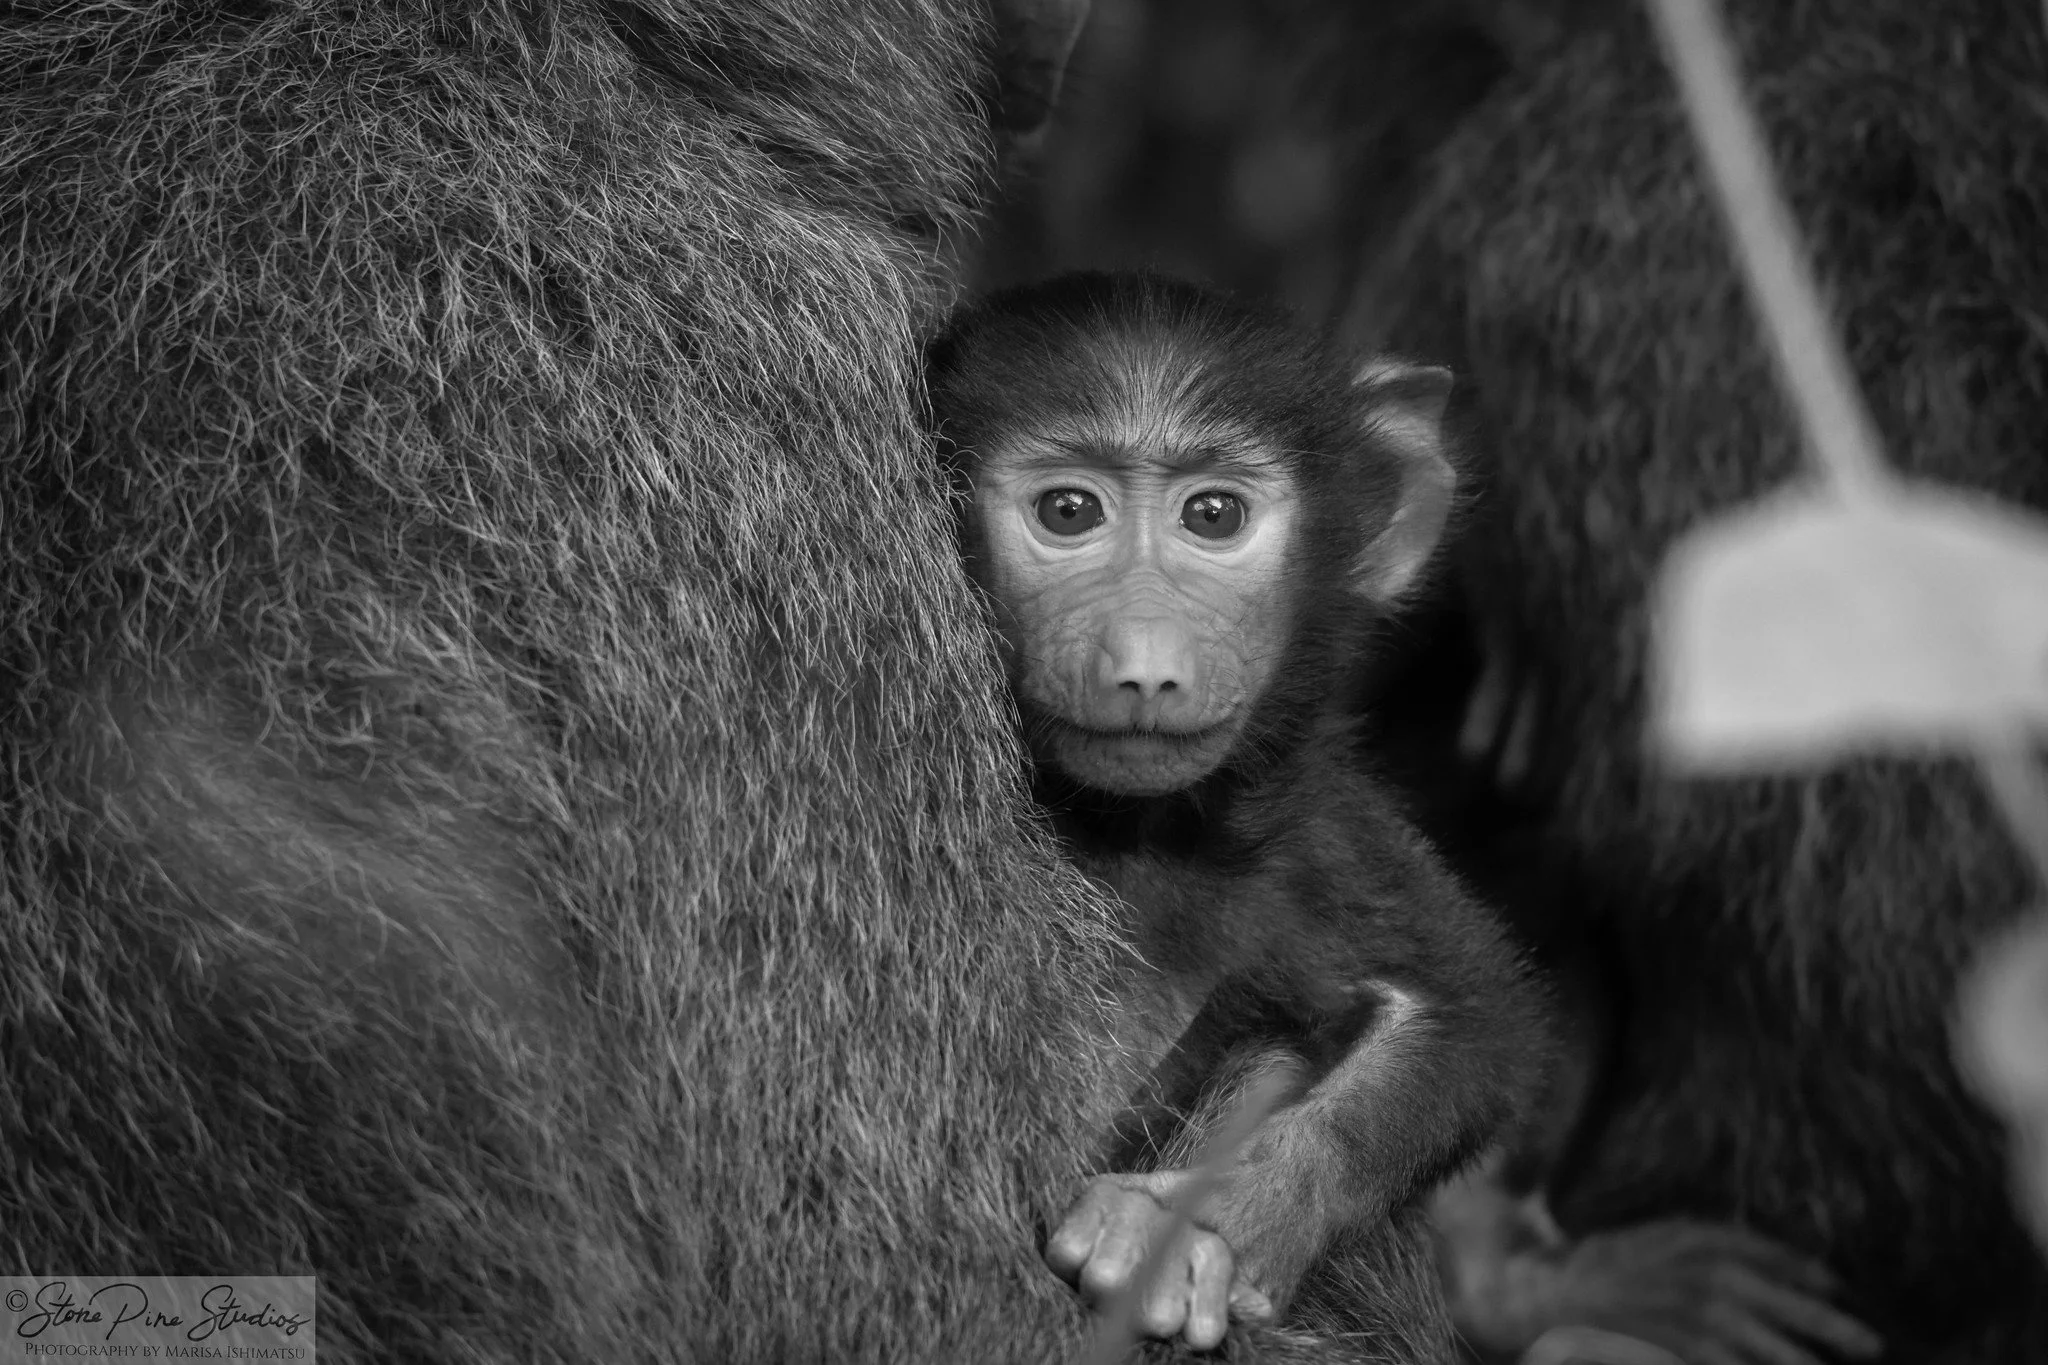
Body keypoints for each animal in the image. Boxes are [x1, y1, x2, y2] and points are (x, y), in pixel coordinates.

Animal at [925, 270, 1551, 1354]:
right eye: (1067, 510)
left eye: (1212, 515)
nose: (1142, 663)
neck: (1138, 834)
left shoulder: (1323, 826)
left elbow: (1473, 1020)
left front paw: (1204, 1224)